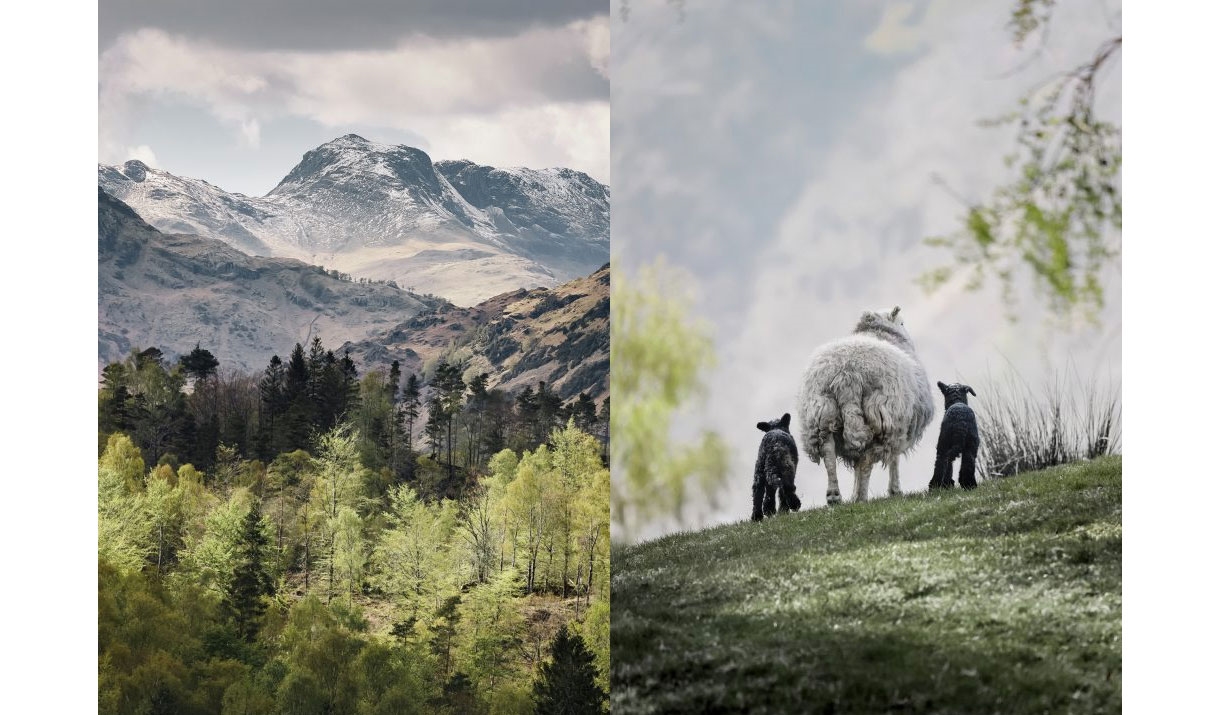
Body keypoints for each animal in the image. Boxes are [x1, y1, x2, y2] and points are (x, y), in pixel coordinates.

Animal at [800, 305, 932, 500]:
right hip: (882, 414)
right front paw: (895, 491)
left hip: (821, 411)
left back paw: (835, 496)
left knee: (828, 452)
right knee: (867, 459)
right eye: (902, 323)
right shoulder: (901, 425)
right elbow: (894, 460)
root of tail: (846, 373)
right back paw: (860, 497)